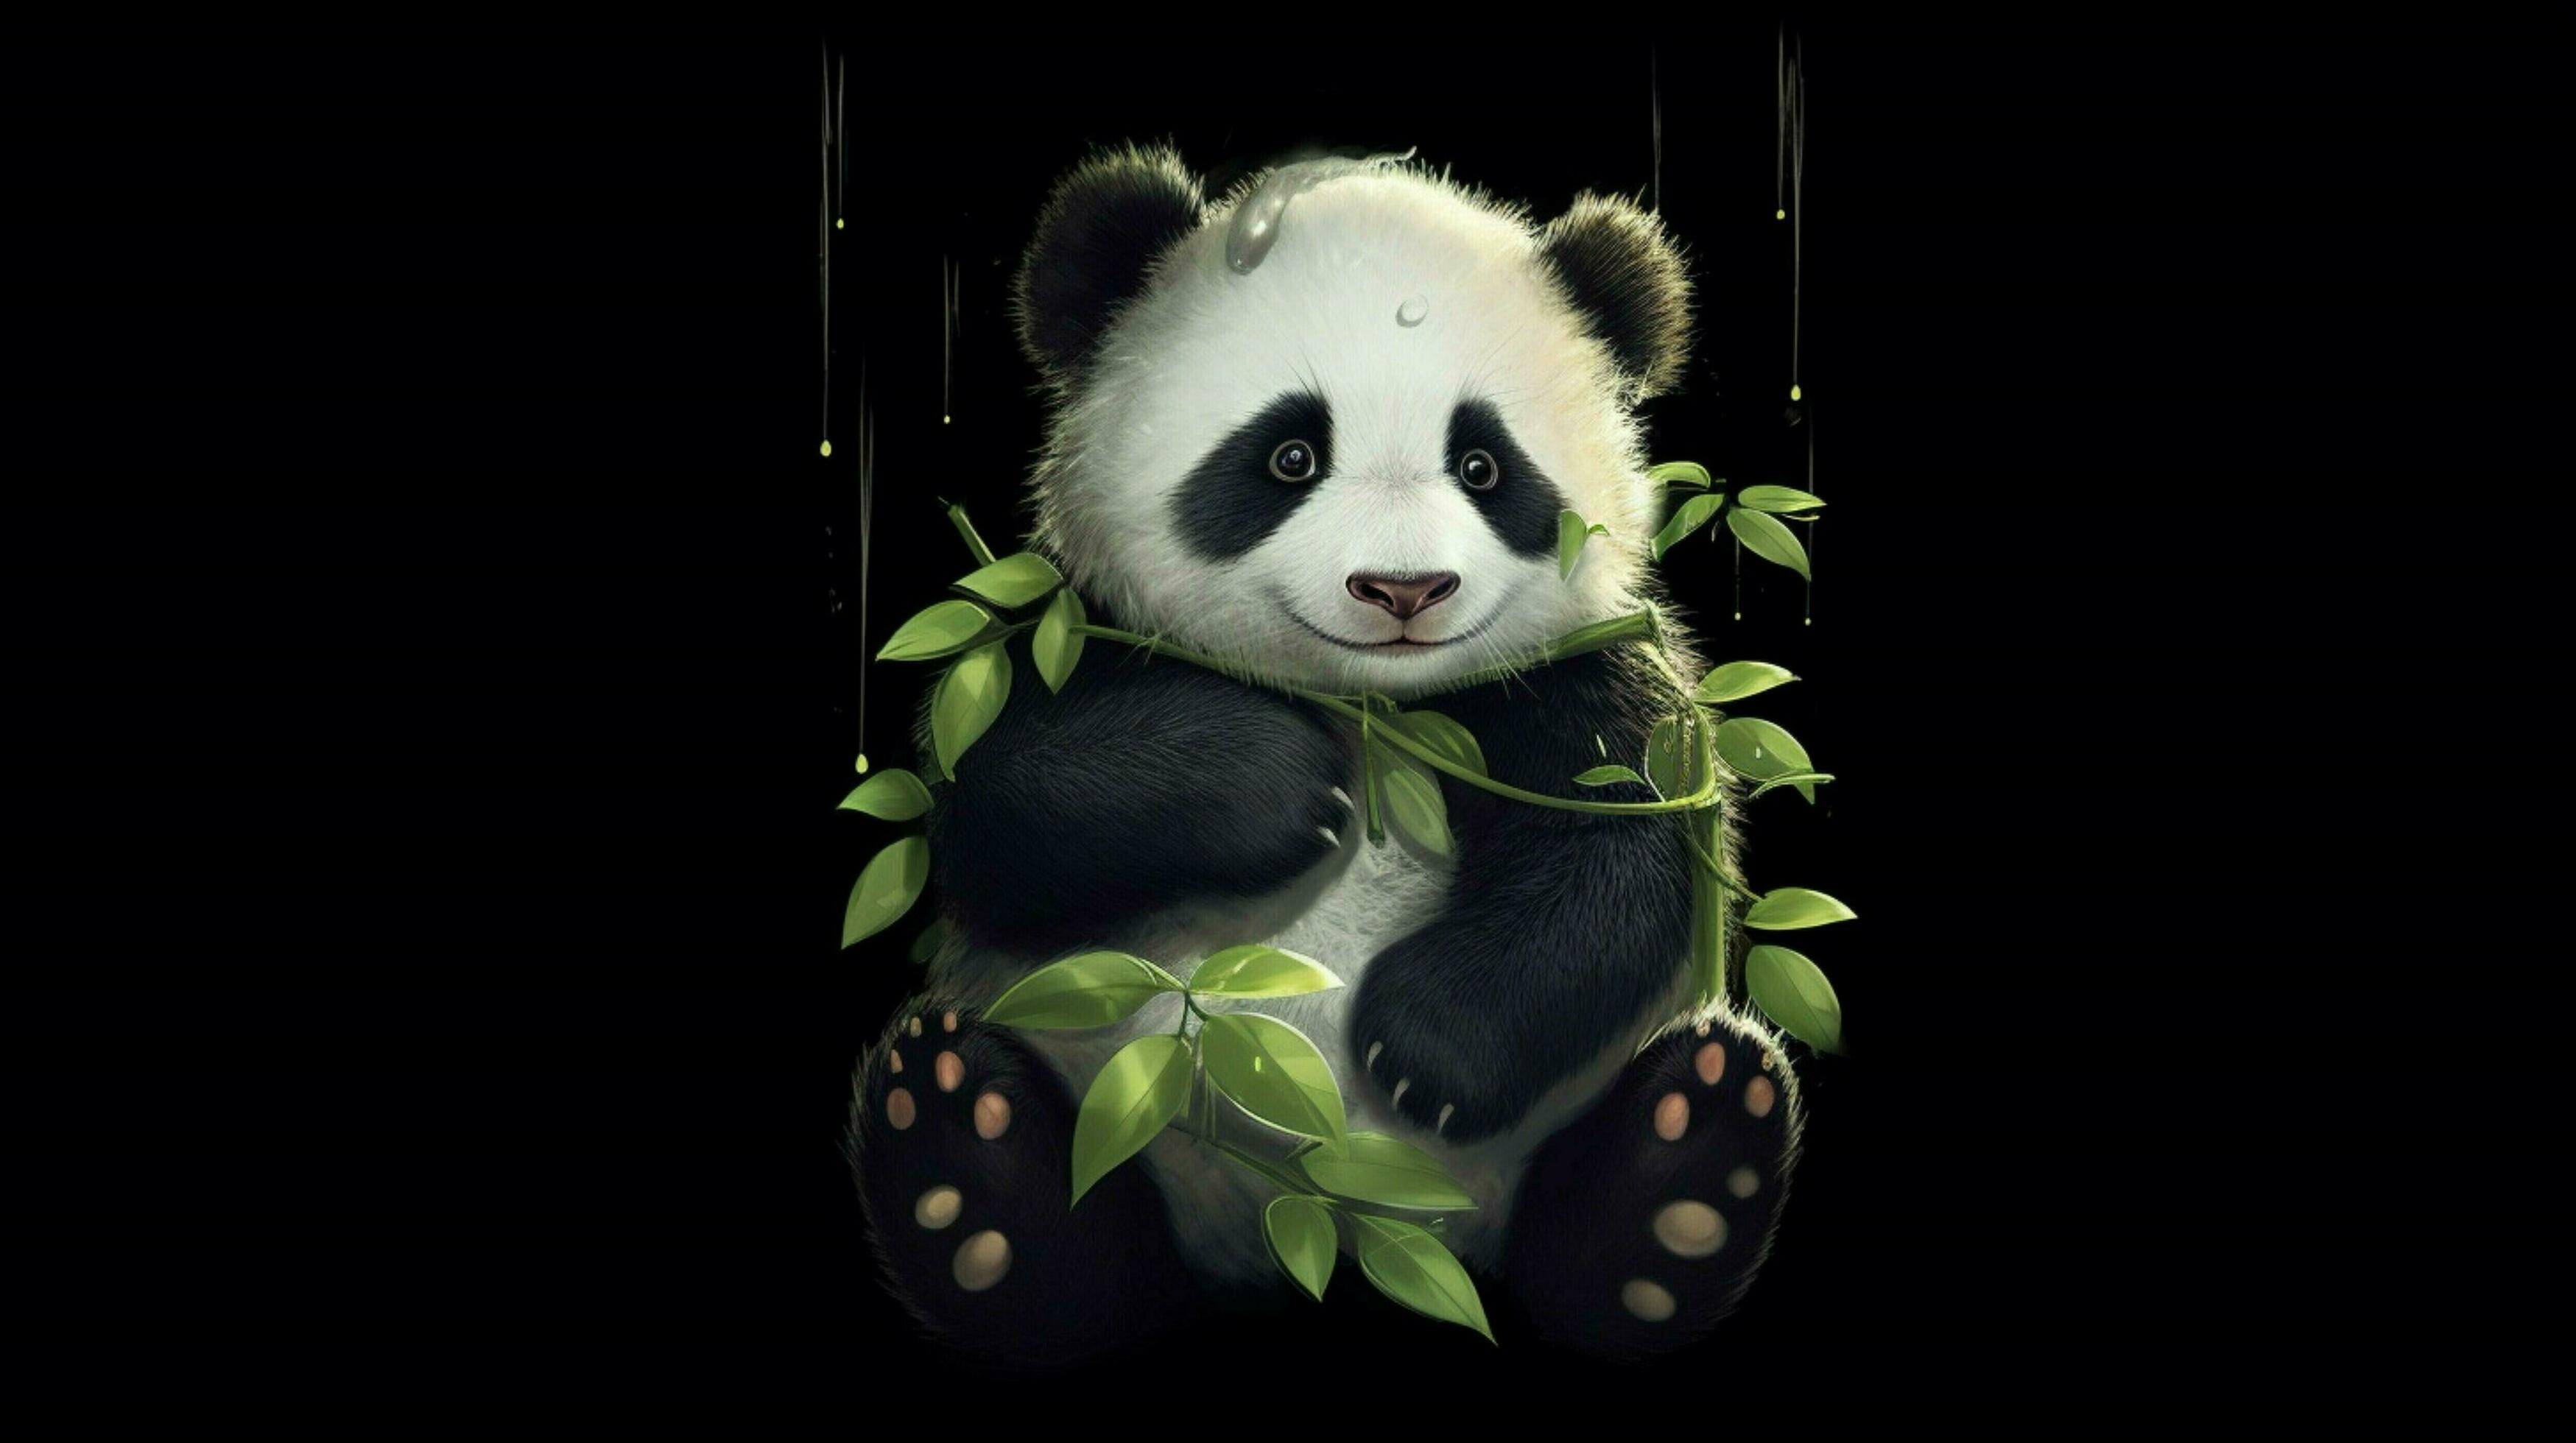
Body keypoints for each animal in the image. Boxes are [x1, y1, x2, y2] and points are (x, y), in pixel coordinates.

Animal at [845, 143, 1802, 1365]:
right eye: (1291, 455)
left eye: (1482, 465)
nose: (1403, 589)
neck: (1372, 708)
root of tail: (1319, 1238)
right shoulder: (1059, 632)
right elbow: (995, 809)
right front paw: (1283, 788)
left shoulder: (1572, 674)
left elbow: (1625, 854)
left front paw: (1422, 1050)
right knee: (1081, 1250)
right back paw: (968, 1163)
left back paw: (1684, 1171)